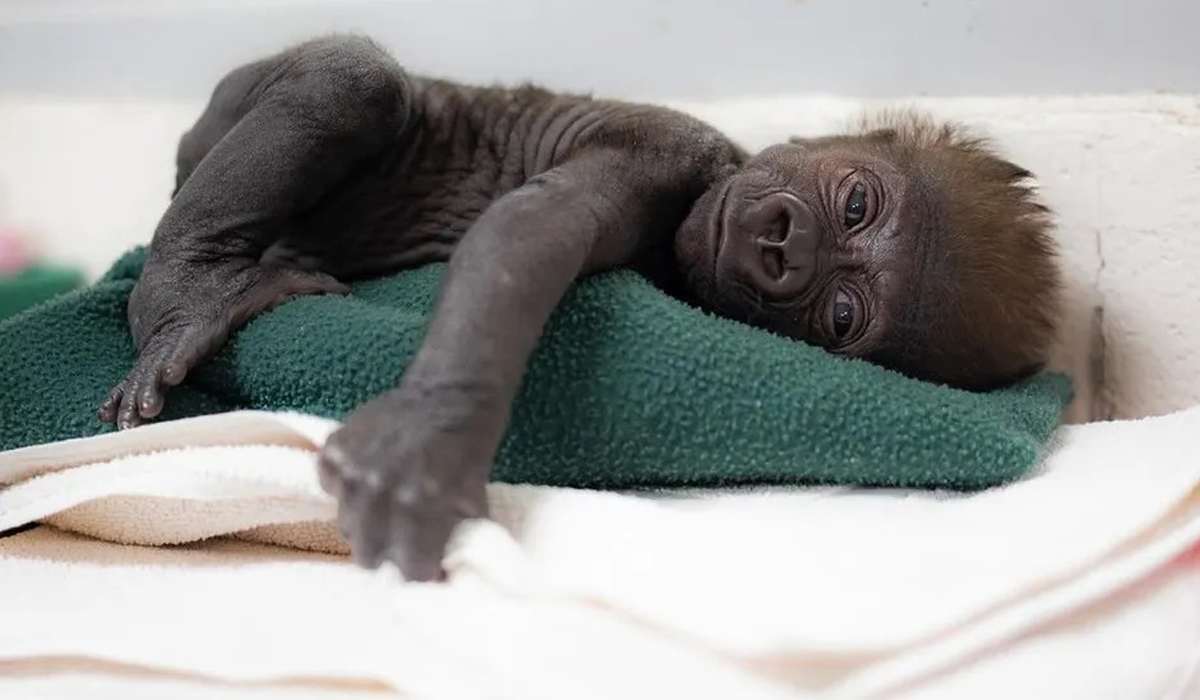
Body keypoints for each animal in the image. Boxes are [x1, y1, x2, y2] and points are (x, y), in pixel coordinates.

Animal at [96, 35, 1061, 582]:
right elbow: (527, 228)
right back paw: (187, 287)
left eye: (843, 318)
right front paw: (434, 434)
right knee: (355, 76)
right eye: (855, 203)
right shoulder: (673, 148)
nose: (786, 246)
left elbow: (525, 234)